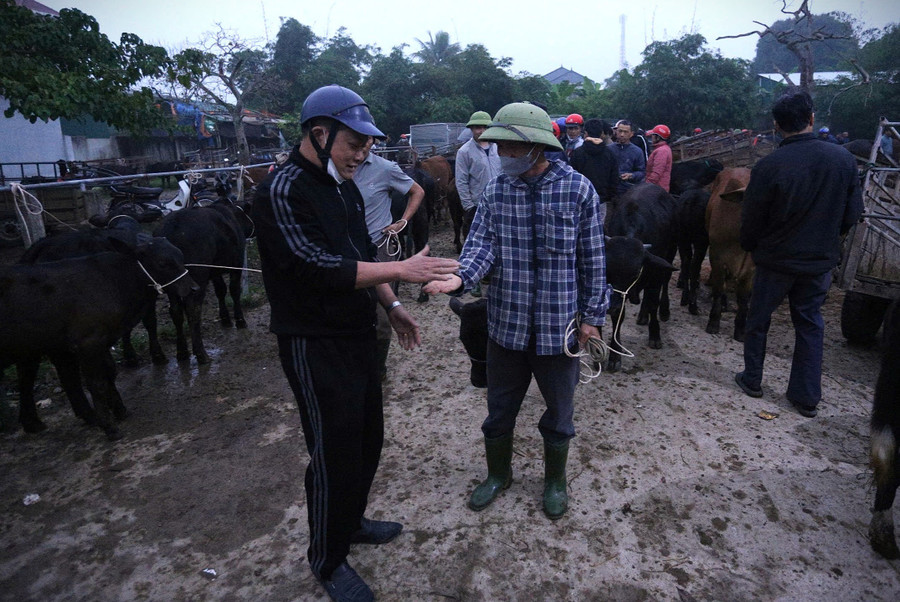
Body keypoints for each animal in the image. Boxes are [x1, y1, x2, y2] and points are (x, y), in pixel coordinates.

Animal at [0, 233, 195, 436]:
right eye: (162, 262)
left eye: (181, 256)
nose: (193, 288)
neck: (117, 281)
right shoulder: (88, 342)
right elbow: (97, 383)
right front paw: (110, 427)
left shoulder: (102, 340)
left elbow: (109, 372)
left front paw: (119, 410)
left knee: (33, 376)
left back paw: (37, 422)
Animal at [155, 199, 253, 364]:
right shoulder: (236, 264)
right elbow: (234, 290)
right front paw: (239, 320)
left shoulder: (214, 270)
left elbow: (220, 290)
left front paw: (225, 318)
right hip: (198, 277)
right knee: (193, 309)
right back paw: (201, 353)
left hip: (172, 284)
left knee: (176, 311)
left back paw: (182, 352)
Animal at [608, 184, 680, 346]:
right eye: (608, 270)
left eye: (635, 273)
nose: (612, 305)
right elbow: (619, 314)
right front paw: (615, 348)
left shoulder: (656, 273)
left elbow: (653, 302)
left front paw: (655, 335)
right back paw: (642, 315)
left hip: (671, 252)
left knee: (665, 281)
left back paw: (664, 310)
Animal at [704, 166, 752, 340]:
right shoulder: (717, 257)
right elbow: (719, 289)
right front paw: (713, 323)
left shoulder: (751, 269)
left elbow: (744, 298)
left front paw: (740, 330)